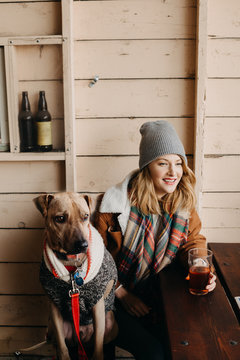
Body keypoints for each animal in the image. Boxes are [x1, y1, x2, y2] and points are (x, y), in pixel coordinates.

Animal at [34, 193, 118, 360]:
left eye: (86, 216)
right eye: (60, 218)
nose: (83, 245)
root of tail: (82, 338)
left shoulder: (97, 306)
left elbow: (98, 348)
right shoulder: (54, 307)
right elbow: (62, 347)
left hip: (111, 323)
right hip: (52, 328)